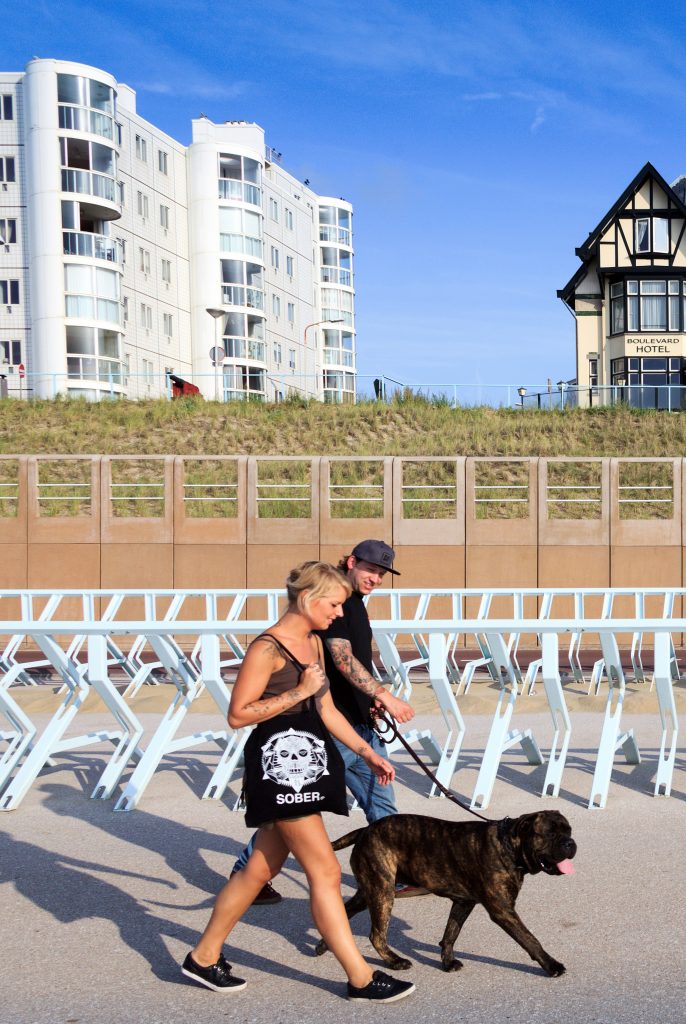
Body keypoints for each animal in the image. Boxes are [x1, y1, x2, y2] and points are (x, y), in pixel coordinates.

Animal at [319, 806, 577, 974]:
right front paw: (551, 965)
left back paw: (323, 944)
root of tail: (364, 830)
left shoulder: (463, 903)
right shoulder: (503, 911)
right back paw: (395, 962)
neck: (508, 846)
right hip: (382, 892)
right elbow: (530, 939)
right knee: (376, 935)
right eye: (550, 833)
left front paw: (447, 961)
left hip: (369, 891)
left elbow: (451, 933)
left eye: (569, 831)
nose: (570, 843)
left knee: (344, 911)